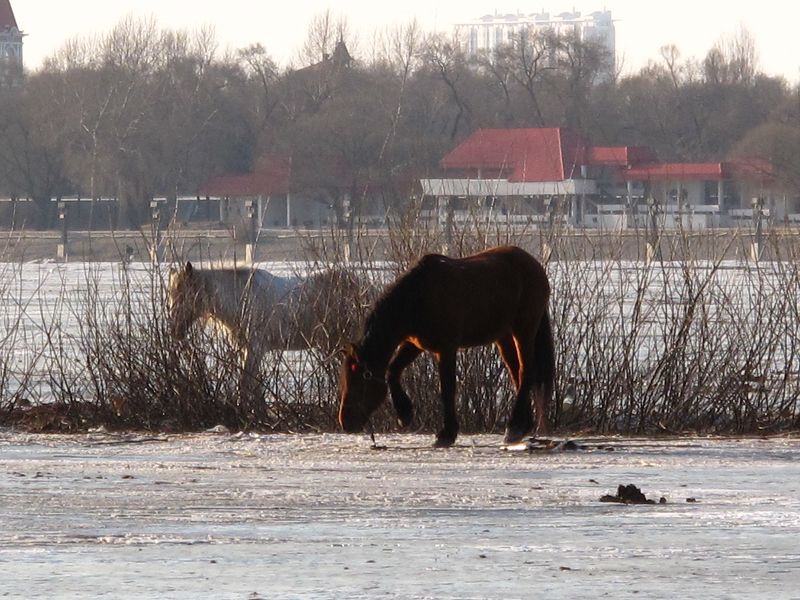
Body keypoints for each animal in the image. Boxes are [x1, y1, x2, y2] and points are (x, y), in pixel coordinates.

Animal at [334, 244, 552, 446]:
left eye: (359, 381)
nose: (345, 422)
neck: (418, 296)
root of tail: (534, 265)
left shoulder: (446, 348)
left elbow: (447, 389)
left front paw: (447, 434)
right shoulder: (414, 344)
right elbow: (392, 371)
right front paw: (405, 414)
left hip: (524, 329)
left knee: (525, 372)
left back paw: (514, 427)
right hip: (504, 337)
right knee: (517, 373)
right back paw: (523, 425)